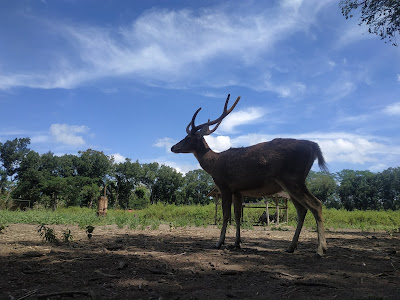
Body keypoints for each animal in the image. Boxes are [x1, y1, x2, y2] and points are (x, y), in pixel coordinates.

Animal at [171, 94, 328, 255]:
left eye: (188, 138)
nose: (172, 147)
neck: (214, 164)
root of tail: (314, 147)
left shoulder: (224, 185)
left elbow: (226, 214)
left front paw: (219, 242)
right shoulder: (237, 190)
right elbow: (237, 215)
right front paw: (236, 243)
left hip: (293, 179)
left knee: (316, 204)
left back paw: (321, 248)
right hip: (292, 184)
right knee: (302, 209)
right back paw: (291, 247)